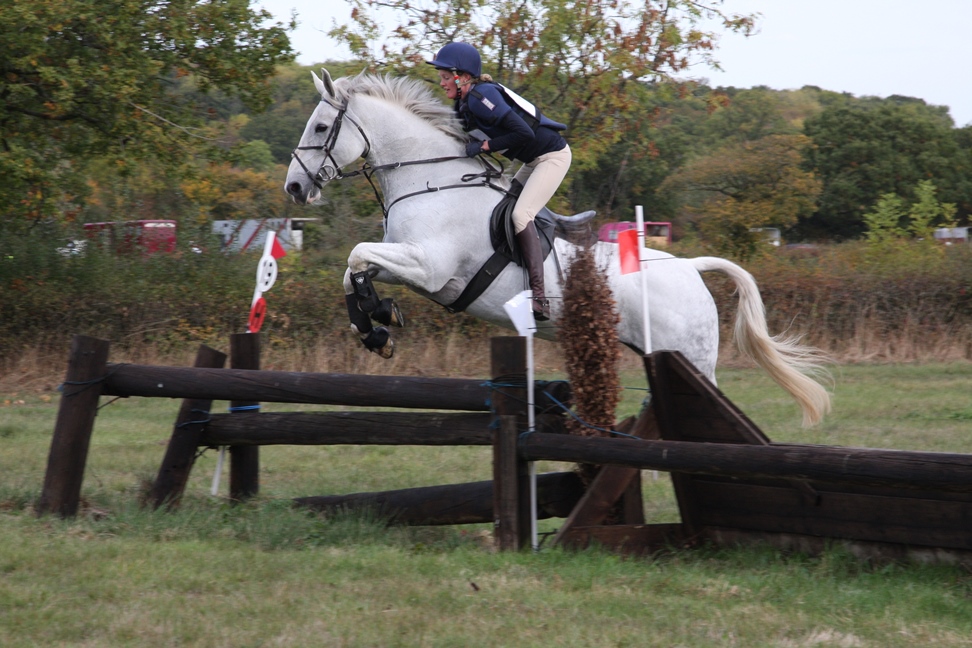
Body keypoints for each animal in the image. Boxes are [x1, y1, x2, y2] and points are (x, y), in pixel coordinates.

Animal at [285, 69, 831, 426]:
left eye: (319, 127)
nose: (294, 187)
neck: (430, 179)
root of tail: (692, 268)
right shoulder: (408, 261)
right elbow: (354, 270)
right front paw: (376, 326)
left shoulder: (431, 267)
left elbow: (357, 254)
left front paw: (380, 320)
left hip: (690, 359)